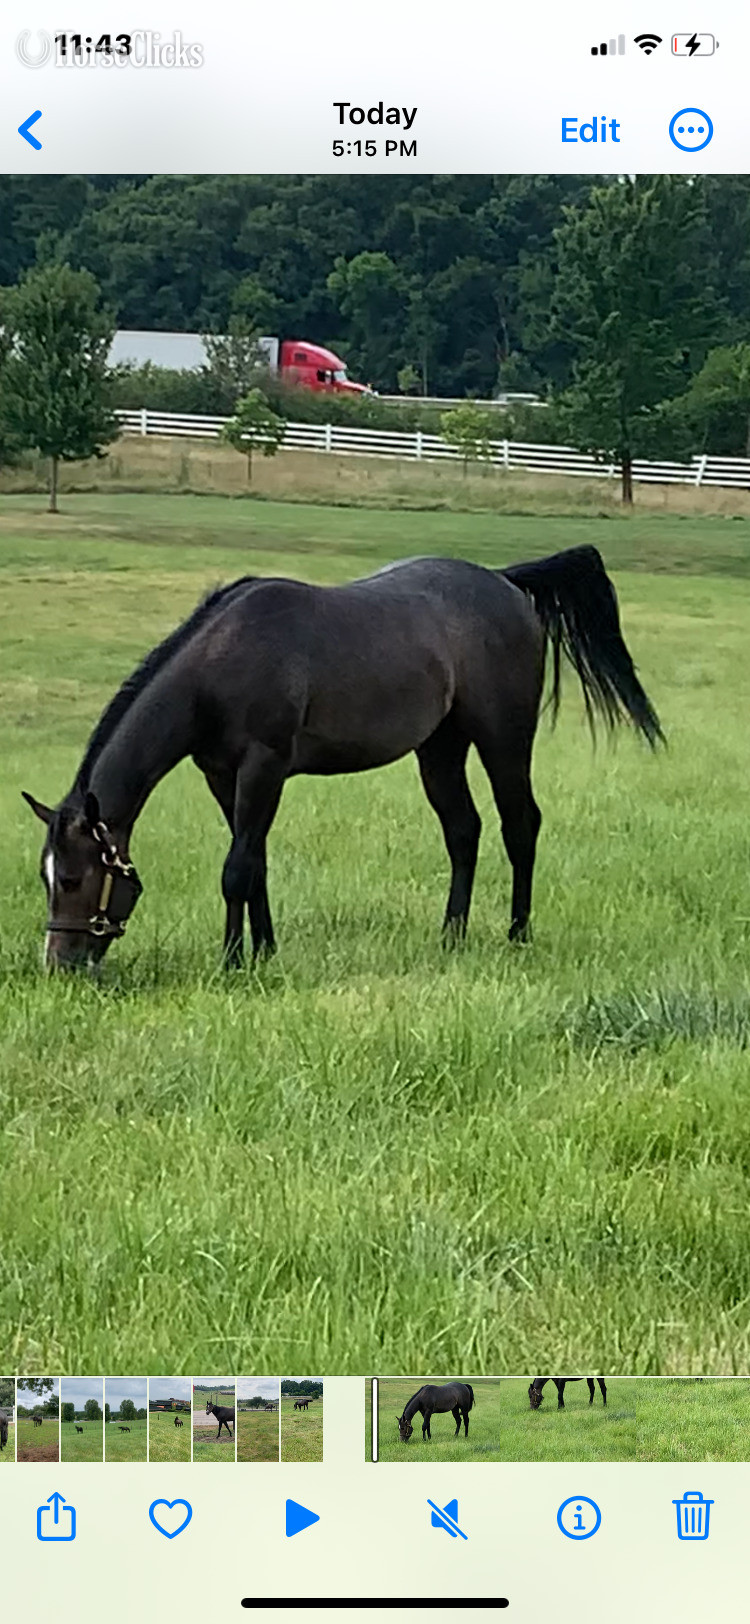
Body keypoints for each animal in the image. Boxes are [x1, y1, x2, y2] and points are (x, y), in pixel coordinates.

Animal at [23, 547, 662, 972]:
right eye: (46, 876)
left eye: (74, 877)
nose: (60, 963)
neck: (222, 662)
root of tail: (506, 583)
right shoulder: (221, 775)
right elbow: (256, 863)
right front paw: (264, 952)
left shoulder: (264, 767)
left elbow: (236, 869)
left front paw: (232, 963)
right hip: (440, 749)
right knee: (464, 831)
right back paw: (451, 936)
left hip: (503, 739)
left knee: (519, 825)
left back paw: (516, 933)